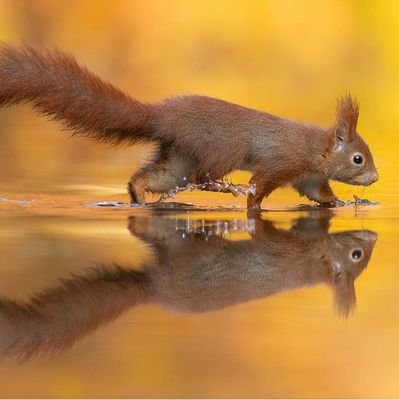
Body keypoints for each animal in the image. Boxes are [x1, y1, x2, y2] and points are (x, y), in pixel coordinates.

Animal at [0, 43, 380, 209]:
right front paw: (251, 199)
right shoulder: (282, 162)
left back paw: (139, 197)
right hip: (220, 150)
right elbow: (260, 187)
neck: (317, 148)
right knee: (204, 177)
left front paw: (342, 204)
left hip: (178, 161)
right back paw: (228, 188)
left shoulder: (310, 178)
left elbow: (320, 195)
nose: (375, 178)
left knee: (149, 178)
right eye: (358, 158)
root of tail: (162, 116)